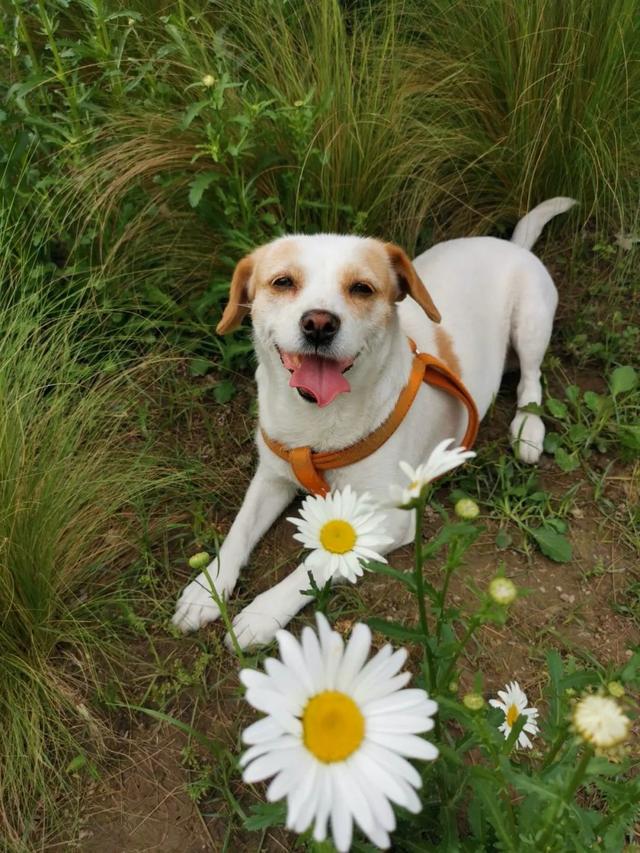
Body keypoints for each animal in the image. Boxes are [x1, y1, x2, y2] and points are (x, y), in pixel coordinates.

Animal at [171, 196, 576, 644]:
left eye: (362, 288)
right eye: (282, 282)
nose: (318, 324)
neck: (319, 418)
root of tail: (513, 246)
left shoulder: (388, 519)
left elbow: (318, 562)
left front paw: (261, 614)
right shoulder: (271, 477)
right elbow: (239, 531)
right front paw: (206, 590)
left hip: (531, 322)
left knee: (531, 378)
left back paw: (527, 430)